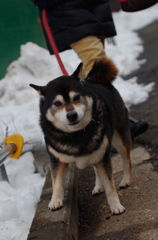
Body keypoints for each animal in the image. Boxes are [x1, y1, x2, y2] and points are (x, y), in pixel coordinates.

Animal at [30, 58, 131, 216]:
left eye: (76, 97)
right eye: (57, 103)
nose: (71, 115)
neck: (76, 134)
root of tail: (91, 79)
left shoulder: (103, 156)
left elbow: (110, 186)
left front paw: (115, 205)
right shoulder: (57, 160)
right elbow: (56, 182)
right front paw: (55, 200)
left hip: (118, 138)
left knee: (127, 160)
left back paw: (126, 180)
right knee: (96, 168)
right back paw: (98, 186)